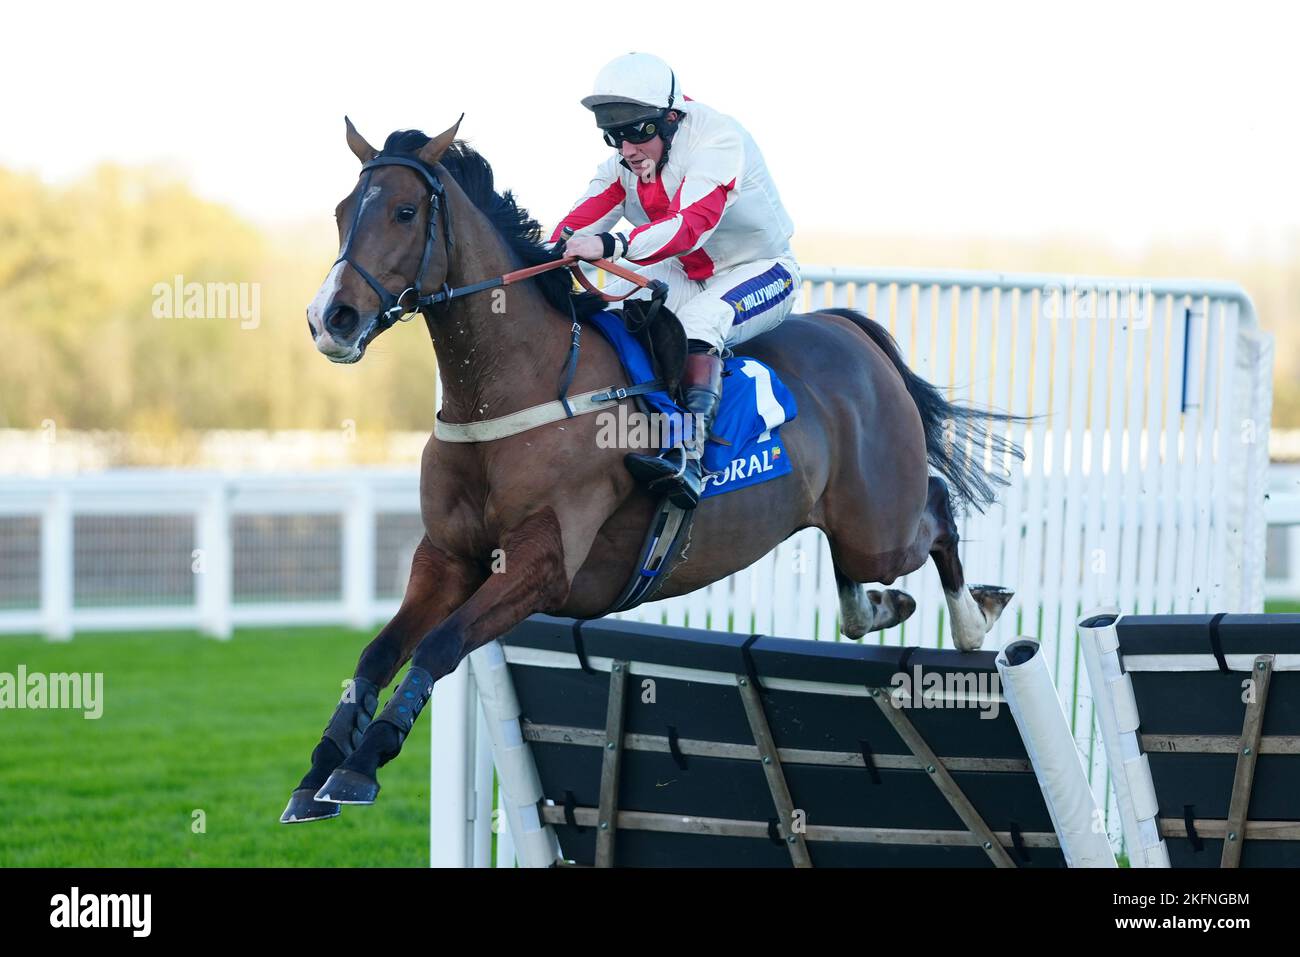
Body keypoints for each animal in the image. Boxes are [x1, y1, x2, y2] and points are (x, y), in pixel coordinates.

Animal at [282, 117, 1013, 821]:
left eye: (405, 211)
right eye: (343, 210)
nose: (330, 318)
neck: (512, 389)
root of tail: (850, 331)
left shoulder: (542, 564)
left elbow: (439, 645)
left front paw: (362, 763)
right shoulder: (446, 557)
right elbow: (379, 652)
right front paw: (322, 768)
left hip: (878, 523)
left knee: (935, 510)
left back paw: (976, 619)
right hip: (847, 521)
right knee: (860, 587)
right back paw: (885, 605)